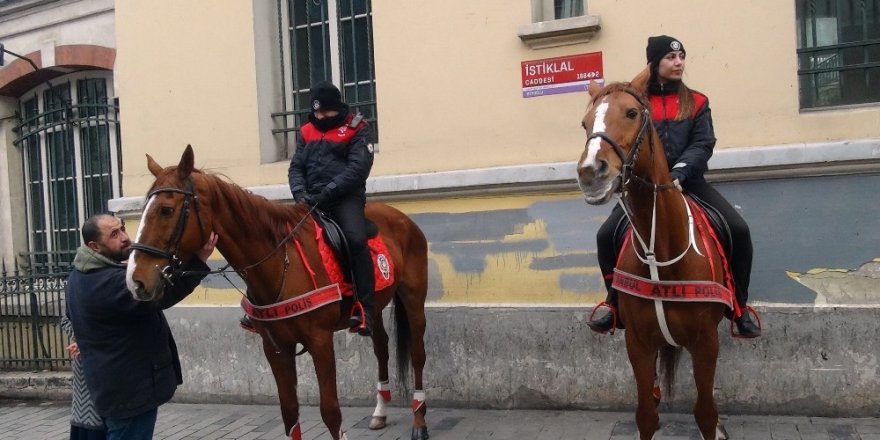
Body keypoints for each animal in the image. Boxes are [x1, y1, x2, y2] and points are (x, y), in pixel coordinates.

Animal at [125, 147, 428, 440]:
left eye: (166, 210)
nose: (135, 281)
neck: (281, 262)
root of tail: (402, 218)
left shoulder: (320, 341)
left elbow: (331, 412)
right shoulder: (275, 347)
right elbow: (289, 413)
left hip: (413, 299)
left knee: (417, 355)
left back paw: (419, 420)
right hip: (373, 307)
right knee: (381, 348)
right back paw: (380, 411)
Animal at [576, 67, 728, 438]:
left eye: (631, 113)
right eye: (585, 123)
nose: (590, 172)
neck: (661, 248)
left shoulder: (706, 343)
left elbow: (706, 412)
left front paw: (715, 425)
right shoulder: (638, 343)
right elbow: (646, 413)